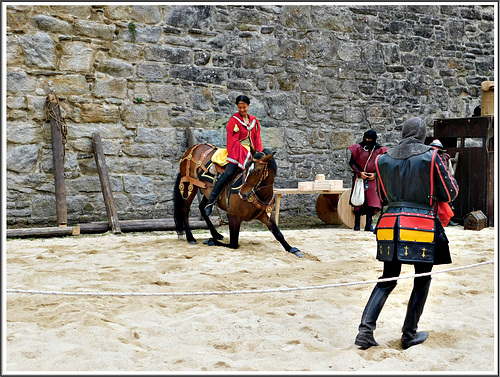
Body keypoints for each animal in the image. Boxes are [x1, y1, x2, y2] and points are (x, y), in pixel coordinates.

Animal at [172, 142, 304, 258]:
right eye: (246, 169)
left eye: (258, 171)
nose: (243, 194)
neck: (258, 195)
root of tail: (193, 148)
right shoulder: (233, 216)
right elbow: (233, 244)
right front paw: (210, 241)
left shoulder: (266, 215)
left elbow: (278, 234)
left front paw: (292, 249)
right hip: (191, 186)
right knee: (185, 210)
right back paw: (190, 237)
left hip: (206, 193)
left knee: (203, 209)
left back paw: (216, 234)